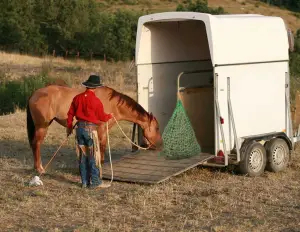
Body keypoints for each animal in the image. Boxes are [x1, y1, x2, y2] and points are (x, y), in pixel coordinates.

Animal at [27, 84, 163, 173]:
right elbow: (102, 146)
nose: (160, 144)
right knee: (36, 144)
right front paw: (101, 163)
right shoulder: (101, 129)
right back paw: (39, 168)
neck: (112, 104)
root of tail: (33, 94)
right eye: (157, 128)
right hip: (42, 127)